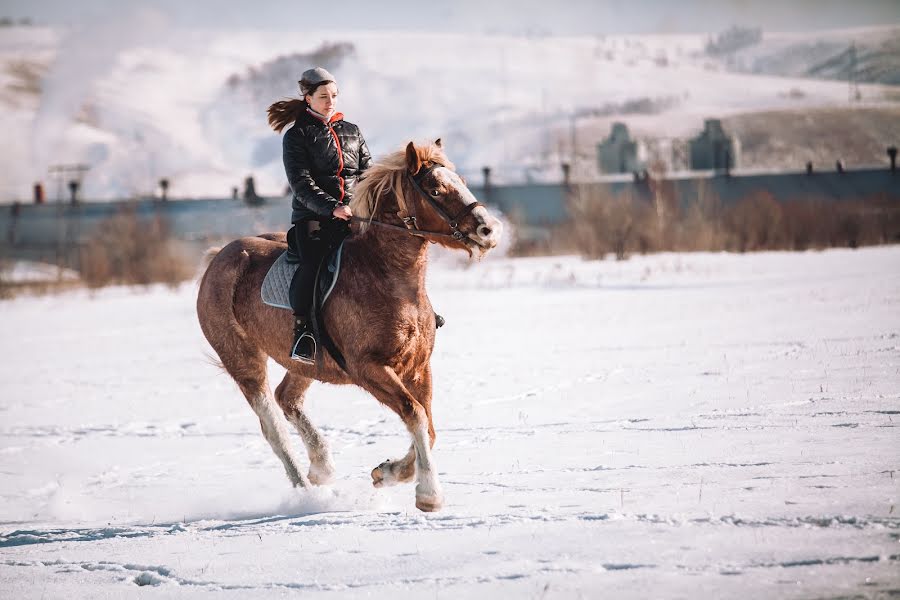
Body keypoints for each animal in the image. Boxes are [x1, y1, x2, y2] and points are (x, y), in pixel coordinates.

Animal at [197, 141, 502, 510]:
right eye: (435, 189)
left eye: (461, 181)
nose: (490, 230)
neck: (386, 275)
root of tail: (218, 258)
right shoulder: (369, 368)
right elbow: (414, 414)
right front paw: (428, 494)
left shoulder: (418, 367)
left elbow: (428, 428)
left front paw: (386, 472)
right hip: (244, 363)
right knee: (273, 427)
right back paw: (308, 493)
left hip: (305, 363)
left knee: (288, 398)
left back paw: (322, 467)